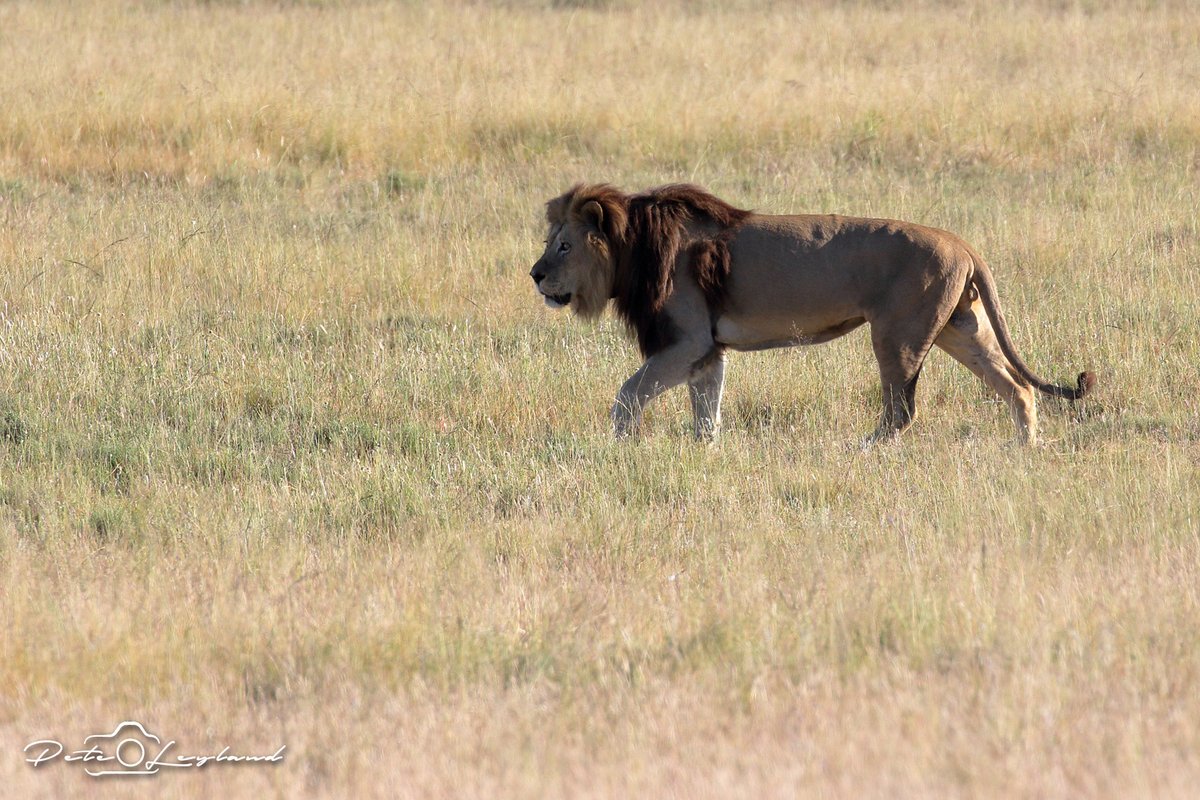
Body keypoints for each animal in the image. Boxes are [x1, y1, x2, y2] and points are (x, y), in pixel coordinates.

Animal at [529, 183, 1095, 445]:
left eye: (563, 245)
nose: (534, 274)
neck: (630, 250)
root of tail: (962, 242)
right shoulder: (707, 350)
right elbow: (706, 414)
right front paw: (705, 454)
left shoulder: (687, 341)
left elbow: (627, 395)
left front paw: (621, 449)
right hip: (961, 329)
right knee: (1017, 388)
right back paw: (1025, 449)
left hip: (897, 334)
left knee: (900, 410)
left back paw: (861, 451)